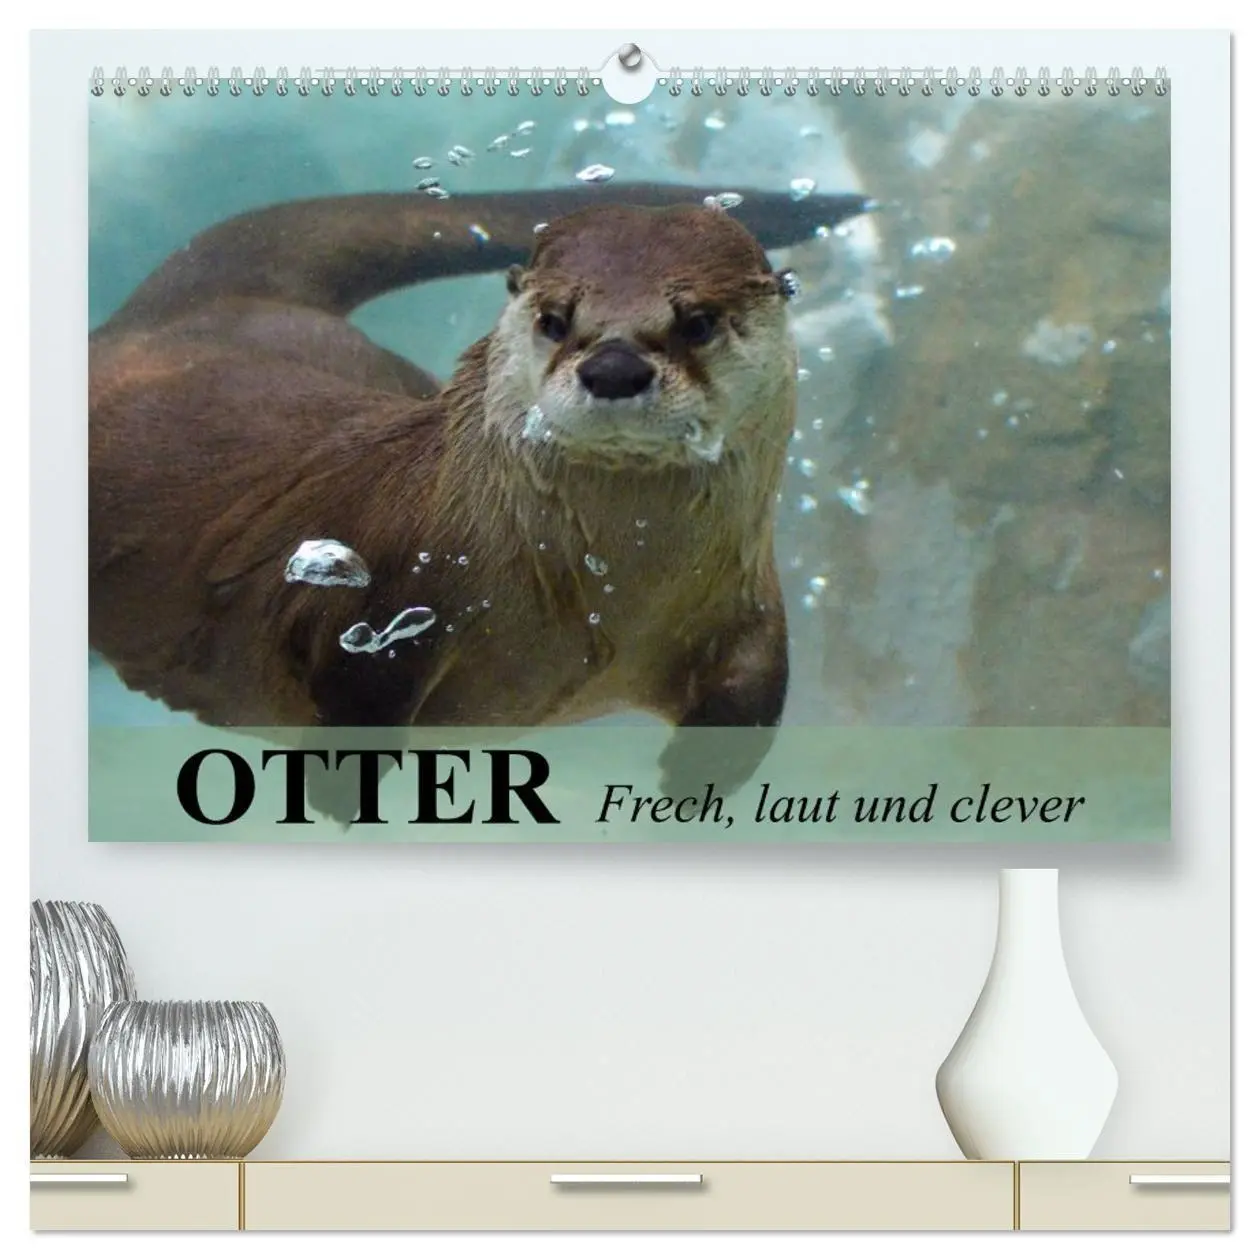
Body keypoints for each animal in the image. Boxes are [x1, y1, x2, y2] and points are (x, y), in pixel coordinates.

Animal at [89, 183, 869, 820]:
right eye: (555, 319)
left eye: (698, 322)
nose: (614, 366)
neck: (604, 595)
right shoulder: (389, 594)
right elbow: (355, 696)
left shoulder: (745, 601)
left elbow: (753, 697)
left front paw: (690, 785)